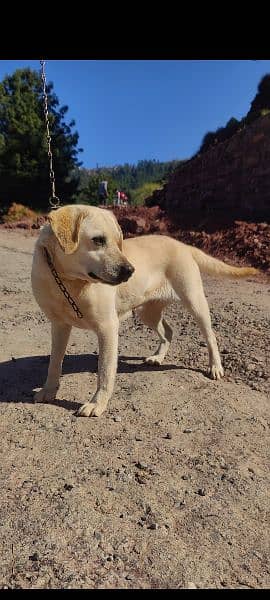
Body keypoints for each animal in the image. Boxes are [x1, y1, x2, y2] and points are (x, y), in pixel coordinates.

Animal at [31, 205, 258, 418]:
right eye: (98, 240)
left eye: (119, 241)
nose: (130, 271)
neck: (68, 281)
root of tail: (183, 245)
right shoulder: (59, 326)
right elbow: (54, 363)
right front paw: (49, 390)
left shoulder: (107, 328)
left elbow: (104, 371)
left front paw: (97, 404)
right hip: (147, 312)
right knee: (168, 331)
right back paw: (158, 357)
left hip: (195, 302)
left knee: (211, 337)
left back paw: (215, 367)